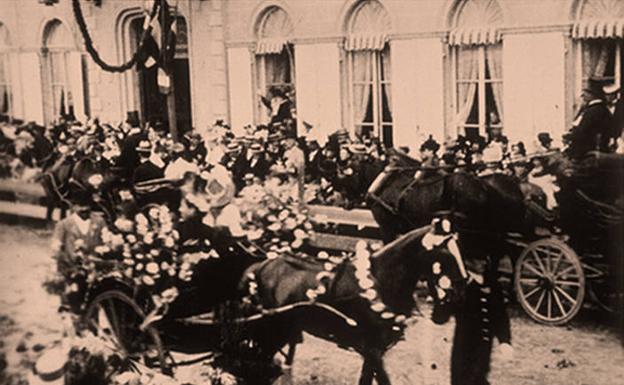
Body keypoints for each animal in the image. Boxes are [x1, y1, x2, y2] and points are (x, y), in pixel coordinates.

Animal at [236, 225, 466, 384]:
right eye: (444, 254)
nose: (460, 292)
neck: (380, 280)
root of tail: (262, 265)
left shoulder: (373, 351)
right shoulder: (372, 349)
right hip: (272, 331)